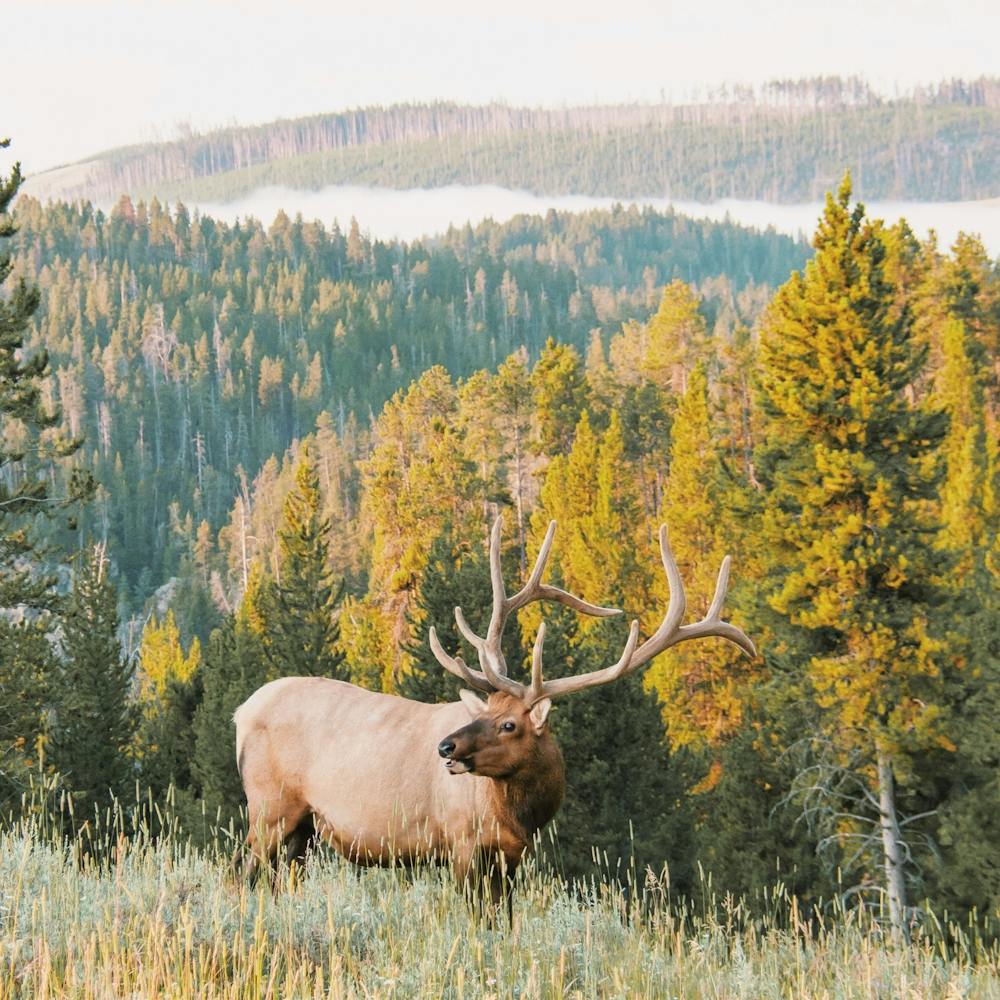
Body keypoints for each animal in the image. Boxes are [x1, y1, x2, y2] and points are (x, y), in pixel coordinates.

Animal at [233, 516, 754, 911]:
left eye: (509, 723)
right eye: (489, 712)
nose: (446, 746)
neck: (519, 816)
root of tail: (240, 712)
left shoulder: (511, 857)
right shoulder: (460, 842)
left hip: (303, 827)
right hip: (268, 806)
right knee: (248, 873)